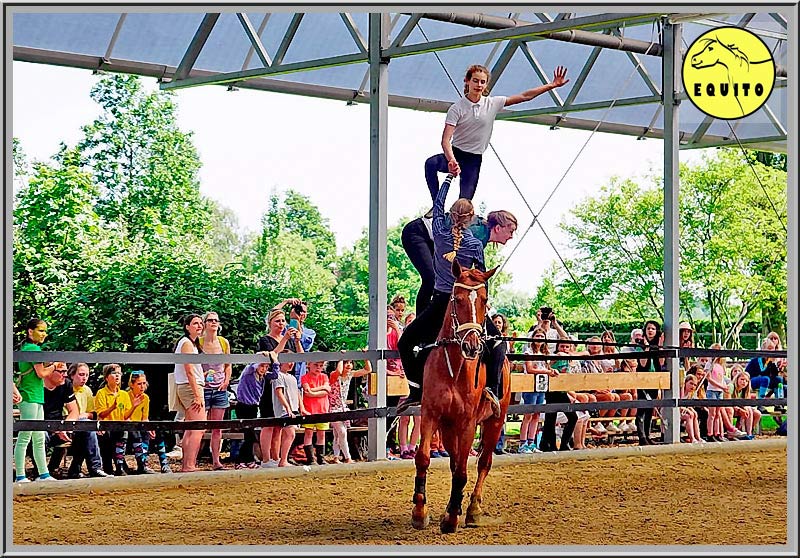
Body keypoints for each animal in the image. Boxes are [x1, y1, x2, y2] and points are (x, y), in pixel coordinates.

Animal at [412, 260, 512, 536]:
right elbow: (424, 458)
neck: (455, 367)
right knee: (456, 460)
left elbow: (463, 471)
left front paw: (451, 519)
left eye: (484, 301)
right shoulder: (431, 415)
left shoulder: (468, 422)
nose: (472, 346)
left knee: (483, 463)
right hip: (448, 428)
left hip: (494, 422)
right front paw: (420, 512)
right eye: (456, 299)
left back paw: (472, 510)